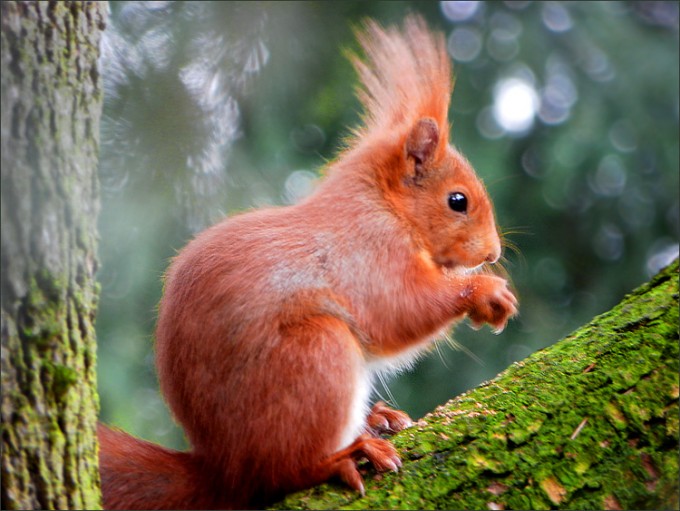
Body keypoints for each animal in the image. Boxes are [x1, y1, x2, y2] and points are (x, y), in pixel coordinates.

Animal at [98, 15, 518, 510]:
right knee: (285, 471)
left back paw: (376, 419)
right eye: (458, 201)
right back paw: (344, 456)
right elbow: (398, 310)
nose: (492, 253)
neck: (383, 207)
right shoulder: (369, 254)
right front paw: (485, 291)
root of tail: (223, 470)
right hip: (316, 355)